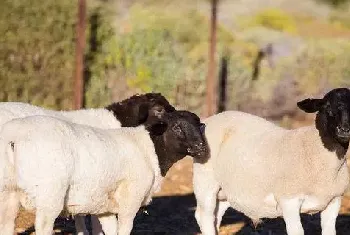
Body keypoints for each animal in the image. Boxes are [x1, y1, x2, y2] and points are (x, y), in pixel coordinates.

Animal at [0, 110, 208, 235]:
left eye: (200, 126)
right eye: (177, 127)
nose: (201, 148)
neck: (149, 148)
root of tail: (13, 137)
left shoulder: (105, 207)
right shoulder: (130, 200)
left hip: (7, 193)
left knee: (6, 224)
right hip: (49, 195)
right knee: (43, 226)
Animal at [193, 87, 350, 235]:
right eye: (327, 107)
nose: (344, 130)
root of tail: (211, 119)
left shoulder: (334, 200)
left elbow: (329, 230)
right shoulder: (289, 200)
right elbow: (297, 231)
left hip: (225, 191)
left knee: (216, 217)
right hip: (205, 181)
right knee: (204, 217)